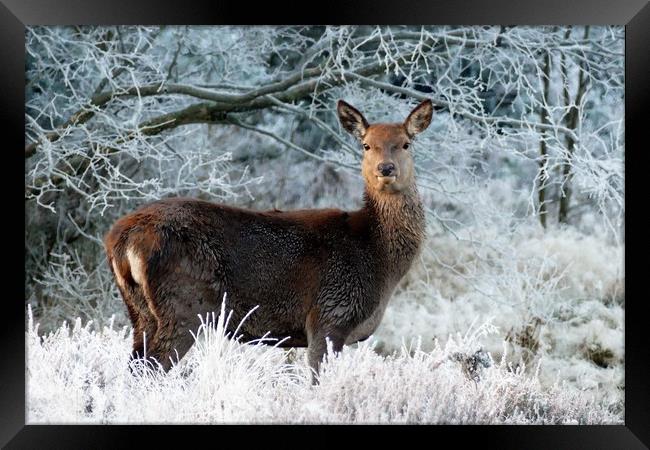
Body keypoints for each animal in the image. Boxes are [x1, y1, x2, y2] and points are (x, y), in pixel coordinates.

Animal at [102, 98, 430, 380]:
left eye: (405, 144)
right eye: (366, 145)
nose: (385, 169)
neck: (377, 256)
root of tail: (120, 239)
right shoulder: (330, 315)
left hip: (140, 311)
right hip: (183, 304)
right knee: (150, 370)